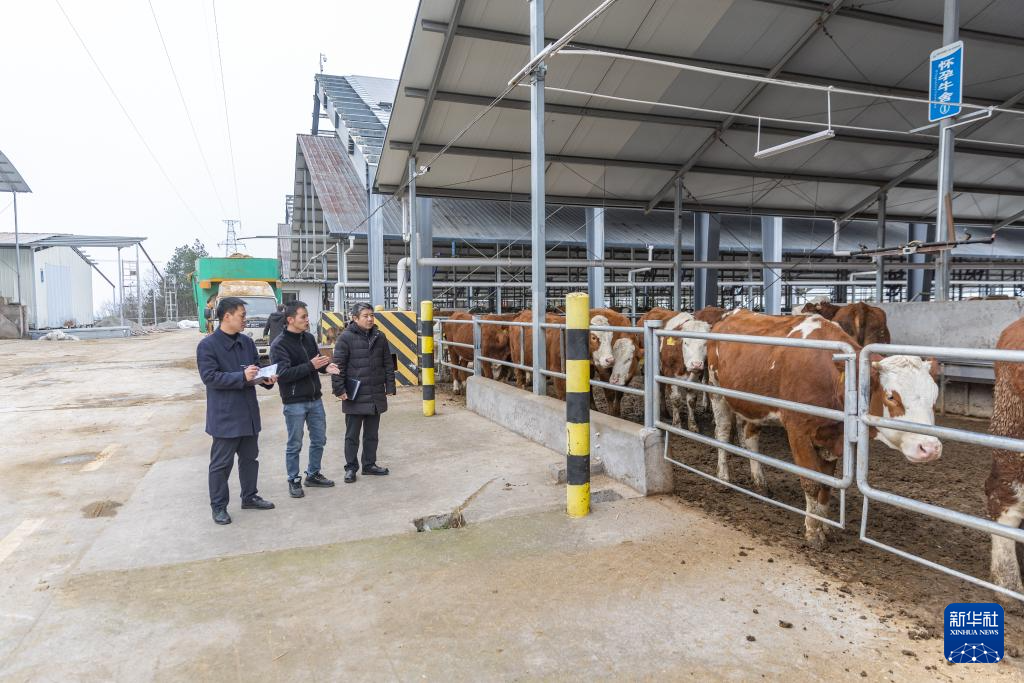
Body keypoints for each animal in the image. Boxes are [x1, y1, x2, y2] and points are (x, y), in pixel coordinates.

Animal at [707, 310, 941, 548]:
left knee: (750, 437)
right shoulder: (798, 431)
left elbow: (827, 483)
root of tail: (730, 314)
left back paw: (760, 482)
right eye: (891, 397)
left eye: (934, 395)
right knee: (722, 433)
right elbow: (811, 482)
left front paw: (825, 526)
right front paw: (812, 531)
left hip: (754, 402)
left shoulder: (833, 437)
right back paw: (723, 477)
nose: (930, 448)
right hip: (717, 391)